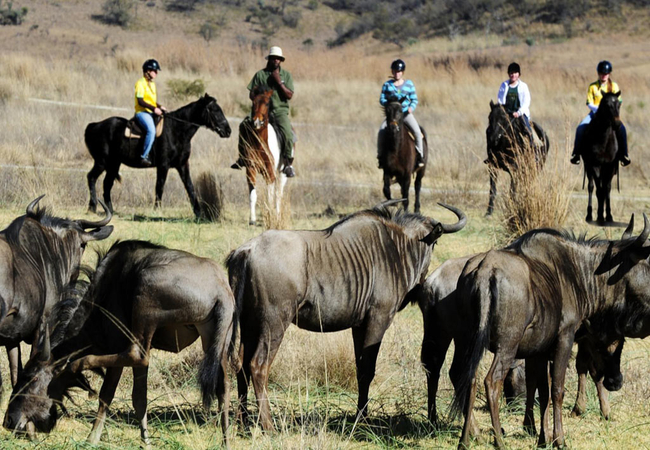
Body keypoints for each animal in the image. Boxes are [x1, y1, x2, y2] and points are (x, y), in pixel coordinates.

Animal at [85, 94, 231, 219]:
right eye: (214, 110)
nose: (228, 131)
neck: (176, 130)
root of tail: (95, 125)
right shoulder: (163, 165)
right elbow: (159, 186)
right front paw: (156, 210)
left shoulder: (183, 165)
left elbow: (190, 187)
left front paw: (198, 213)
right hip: (102, 162)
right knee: (91, 177)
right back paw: (92, 207)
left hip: (114, 164)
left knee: (107, 184)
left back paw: (110, 210)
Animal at [236, 85, 288, 225]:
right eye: (253, 102)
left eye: (267, 103)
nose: (257, 122)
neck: (260, 143)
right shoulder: (251, 169)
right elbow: (253, 195)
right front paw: (252, 220)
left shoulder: (270, 173)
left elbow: (270, 197)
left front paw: (270, 217)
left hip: (282, 173)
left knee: (278, 194)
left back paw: (278, 216)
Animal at [580, 92, 621, 223]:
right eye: (607, 104)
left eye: (619, 104)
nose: (617, 124)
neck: (604, 140)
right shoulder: (595, 165)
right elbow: (599, 190)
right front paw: (599, 216)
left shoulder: (610, 166)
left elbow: (606, 189)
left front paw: (608, 215)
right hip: (589, 168)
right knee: (591, 187)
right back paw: (589, 215)